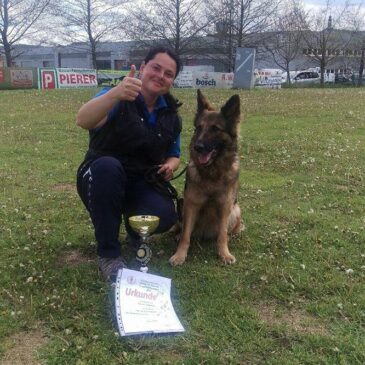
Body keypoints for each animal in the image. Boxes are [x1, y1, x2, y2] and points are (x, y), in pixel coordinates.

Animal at [168, 88, 242, 264]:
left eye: (215, 129)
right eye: (199, 128)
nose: (197, 147)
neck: (212, 173)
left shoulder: (225, 205)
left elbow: (222, 235)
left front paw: (224, 253)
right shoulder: (191, 204)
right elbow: (186, 235)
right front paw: (180, 255)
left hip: (236, 209)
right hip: (181, 203)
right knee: (181, 227)